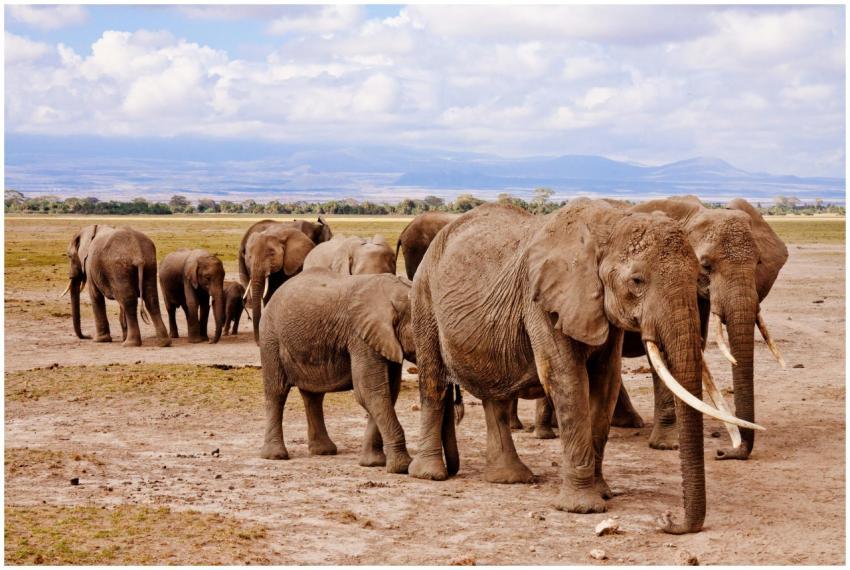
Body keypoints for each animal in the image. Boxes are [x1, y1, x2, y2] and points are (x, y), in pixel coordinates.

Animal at [259, 268, 417, 474]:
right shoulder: (361, 337)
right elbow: (370, 392)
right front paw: (402, 467)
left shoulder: (384, 340)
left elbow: (387, 392)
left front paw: (373, 463)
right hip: (270, 337)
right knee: (276, 391)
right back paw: (275, 456)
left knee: (313, 396)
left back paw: (323, 451)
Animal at [408, 199, 761, 534]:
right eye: (637, 281)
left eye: (699, 275)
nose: (668, 520)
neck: (609, 225)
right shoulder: (543, 302)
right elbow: (568, 380)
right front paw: (583, 507)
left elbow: (606, 383)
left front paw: (603, 492)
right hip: (424, 298)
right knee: (433, 382)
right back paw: (430, 474)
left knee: (496, 396)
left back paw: (509, 478)